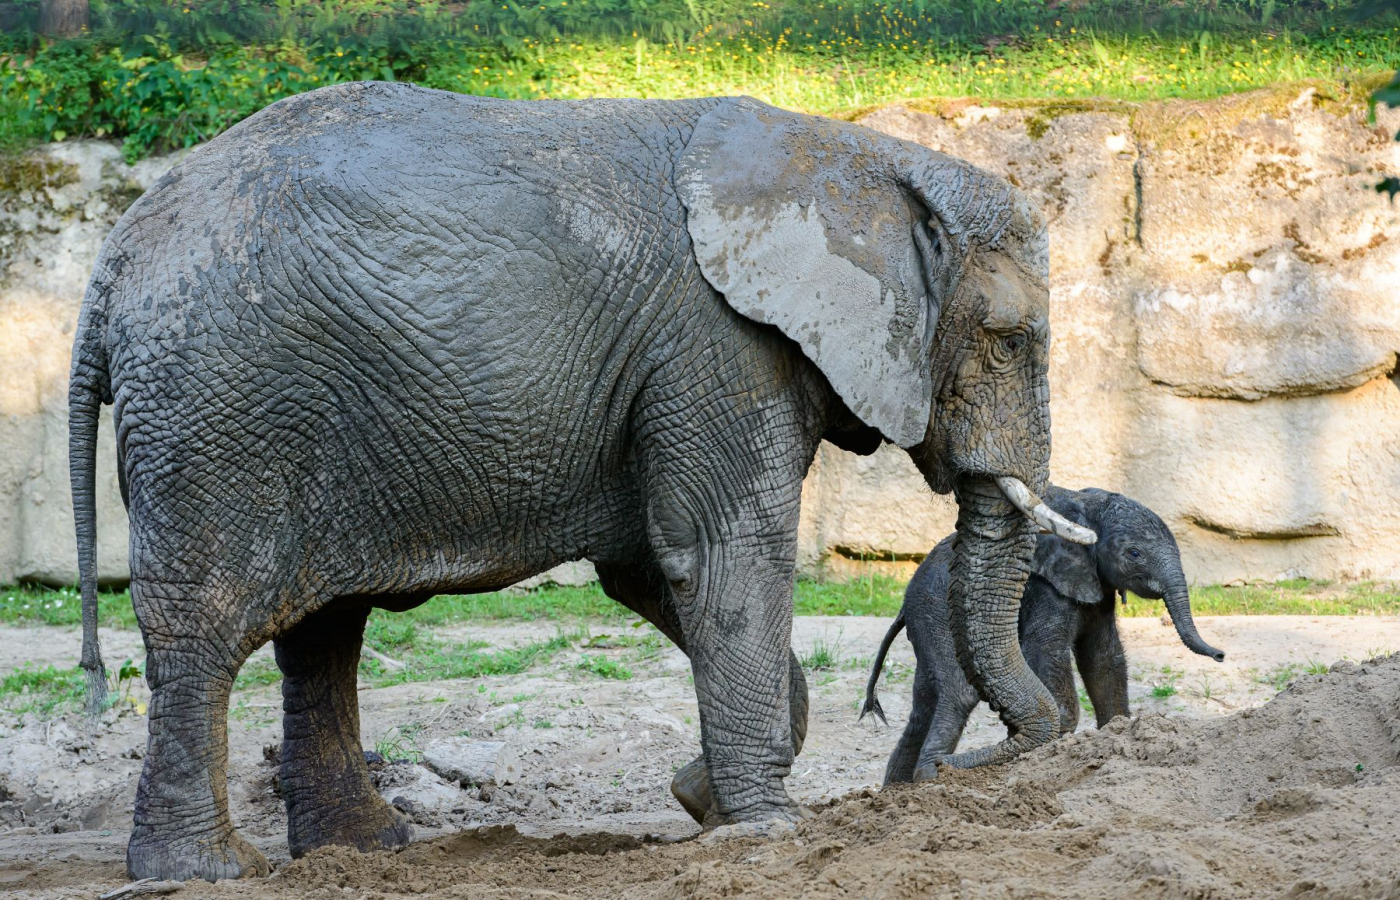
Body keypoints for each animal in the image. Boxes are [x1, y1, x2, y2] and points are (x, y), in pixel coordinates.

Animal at [65, 80, 1092, 884]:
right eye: (1009, 340)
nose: (975, 768)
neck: (853, 155)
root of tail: (110, 267)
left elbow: (651, 568)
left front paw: (701, 802)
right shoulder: (719, 345)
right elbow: (722, 557)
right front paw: (763, 829)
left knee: (322, 632)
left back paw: (360, 853)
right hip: (216, 410)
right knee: (208, 619)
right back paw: (205, 869)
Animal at [862, 487, 1226, 783]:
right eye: (1135, 554)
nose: (1221, 655)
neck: (1086, 507)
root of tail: (905, 602)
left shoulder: (1095, 583)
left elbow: (1103, 656)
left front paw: (1117, 733)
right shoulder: (1046, 586)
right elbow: (1046, 649)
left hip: (925, 620)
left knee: (924, 703)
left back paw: (897, 790)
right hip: (936, 611)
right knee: (958, 693)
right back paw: (930, 774)